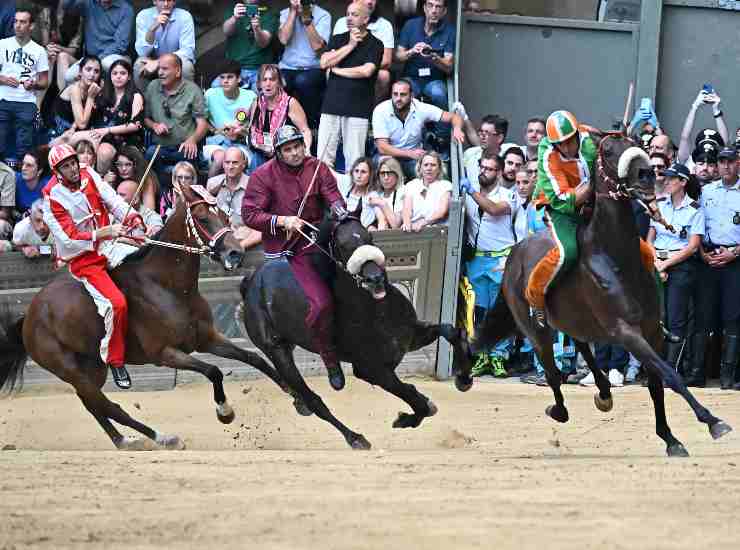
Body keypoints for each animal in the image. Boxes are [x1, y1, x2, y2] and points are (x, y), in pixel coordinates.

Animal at [0, 181, 290, 452]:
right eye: (203, 217)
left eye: (226, 216)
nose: (235, 252)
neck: (166, 287)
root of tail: (30, 315)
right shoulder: (164, 353)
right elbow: (213, 370)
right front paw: (225, 412)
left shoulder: (206, 338)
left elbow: (252, 357)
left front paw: (289, 387)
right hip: (69, 368)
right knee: (107, 405)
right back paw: (161, 437)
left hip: (92, 367)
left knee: (93, 405)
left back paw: (123, 440)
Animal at [240, 218, 472, 450]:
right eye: (342, 246)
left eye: (369, 237)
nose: (375, 279)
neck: (375, 309)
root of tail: (252, 279)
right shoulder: (371, 369)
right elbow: (411, 397)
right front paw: (405, 419)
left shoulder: (410, 337)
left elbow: (451, 331)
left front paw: (463, 380)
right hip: (277, 351)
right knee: (314, 400)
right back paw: (355, 438)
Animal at [476, 134, 732, 458]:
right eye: (608, 151)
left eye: (637, 142)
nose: (647, 175)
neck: (617, 256)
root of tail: (514, 254)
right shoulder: (625, 331)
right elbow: (669, 376)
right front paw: (712, 421)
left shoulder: (652, 330)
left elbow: (657, 383)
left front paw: (671, 438)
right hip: (535, 328)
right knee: (552, 371)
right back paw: (560, 408)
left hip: (576, 321)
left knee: (581, 346)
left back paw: (603, 390)